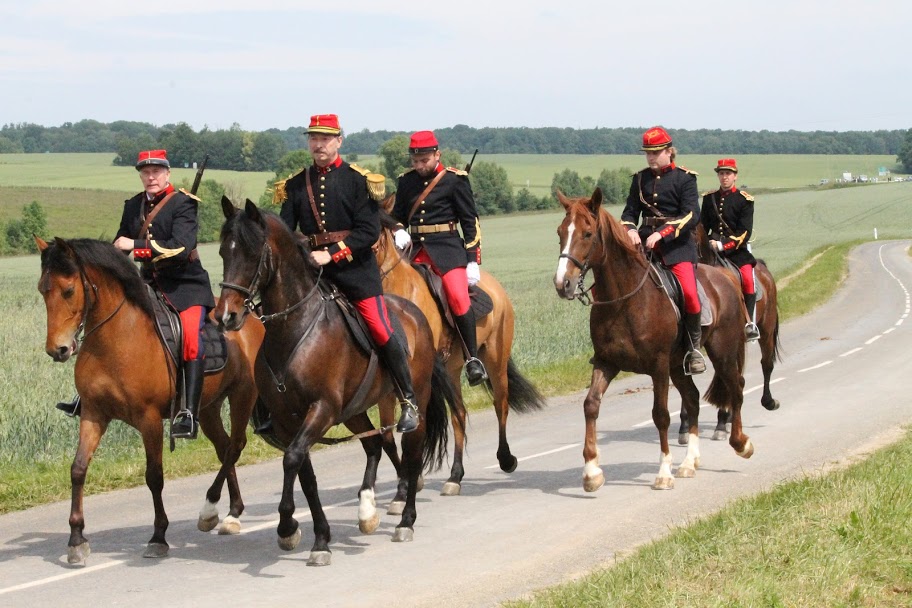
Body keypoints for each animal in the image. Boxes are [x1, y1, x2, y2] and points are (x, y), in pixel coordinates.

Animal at [36, 235, 264, 564]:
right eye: (43, 289)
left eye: (68, 290)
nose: (58, 349)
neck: (114, 339)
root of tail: (251, 318)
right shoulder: (93, 413)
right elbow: (78, 469)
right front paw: (76, 539)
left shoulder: (150, 419)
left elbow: (154, 476)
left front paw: (158, 537)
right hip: (207, 407)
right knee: (224, 448)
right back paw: (231, 511)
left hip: (242, 395)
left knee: (235, 445)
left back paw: (215, 511)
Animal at [215, 200, 456, 564]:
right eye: (223, 252)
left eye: (252, 252)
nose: (225, 316)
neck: (294, 330)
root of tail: (416, 314)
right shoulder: (289, 420)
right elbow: (305, 474)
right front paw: (318, 538)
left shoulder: (322, 409)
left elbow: (292, 460)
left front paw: (287, 526)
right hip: (353, 410)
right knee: (374, 444)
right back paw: (367, 511)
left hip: (415, 402)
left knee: (412, 453)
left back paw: (405, 520)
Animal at [374, 197, 544, 502]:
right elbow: (387, 436)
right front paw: (407, 485)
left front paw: (408, 483)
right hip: (452, 369)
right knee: (459, 414)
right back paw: (455, 476)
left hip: (494, 360)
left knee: (500, 404)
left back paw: (505, 459)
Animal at [552, 188, 752, 492]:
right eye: (561, 232)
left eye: (587, 233)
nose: (562, 283)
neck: (624, 300)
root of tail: (725, 277)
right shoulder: (606, 362)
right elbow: (591, 405)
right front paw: (591, 472)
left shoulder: (658, 366)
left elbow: (661, 414)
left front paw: (664, 473)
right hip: (678, 365)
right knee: (693, 399)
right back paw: (689, 462)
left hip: (723, 352)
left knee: (736, 389)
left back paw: (741, 444)